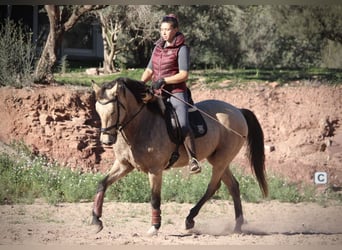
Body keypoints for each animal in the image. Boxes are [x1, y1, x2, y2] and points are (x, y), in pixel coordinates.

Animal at [91, 77, 268, 236]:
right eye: (98, 111)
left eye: (113, 111)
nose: (106, 140)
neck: (140, 125)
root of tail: (238, 111)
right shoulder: (124, 165)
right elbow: (102, 184)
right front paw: (96, 220)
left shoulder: (155, 170)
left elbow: (155, 198)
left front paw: (154, 227)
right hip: (218, 160)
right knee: (233, 186)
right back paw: (237, 226)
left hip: (221, 160)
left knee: (212, 187)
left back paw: (190, 219)